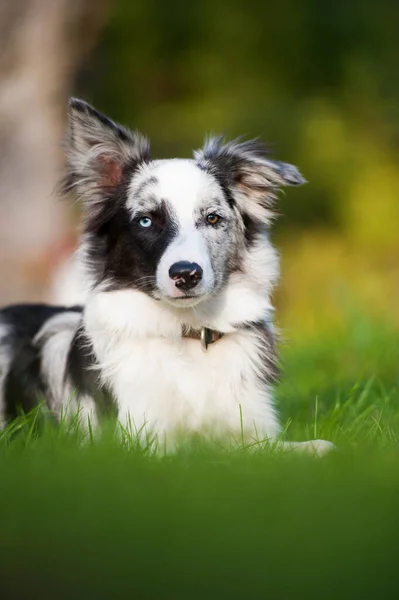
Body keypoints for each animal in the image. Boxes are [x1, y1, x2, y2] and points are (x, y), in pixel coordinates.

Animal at [0, 98, 334, 454]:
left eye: (212, 218)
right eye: (146, 221)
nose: (186, 275)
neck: (187, 332)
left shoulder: (250, 433)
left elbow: (314, 447)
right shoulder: (142, 441)